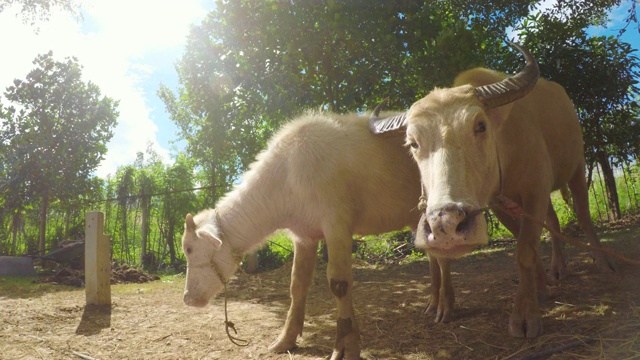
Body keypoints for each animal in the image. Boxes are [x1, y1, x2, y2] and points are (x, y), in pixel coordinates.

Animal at [180, 110, 422, 360]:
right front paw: (285, 340)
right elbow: (297, 285)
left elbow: (340, 284)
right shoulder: (304, 236)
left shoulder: (337, 224)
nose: (187, 298)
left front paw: (346, 348)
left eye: (189, 249)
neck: (287, 175)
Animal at [372, 42, 612, 338]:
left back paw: (603, 262)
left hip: (577, 165)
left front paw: (525, 316)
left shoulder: (535, 189)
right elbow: (524, 243)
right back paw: (557, 269)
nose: (445, 225)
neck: (505, 148)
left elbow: (525, 250)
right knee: (554, 222)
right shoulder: (501, 203)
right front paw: (539, 287)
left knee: (583, 214)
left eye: (480, 126)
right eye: (413, 143)